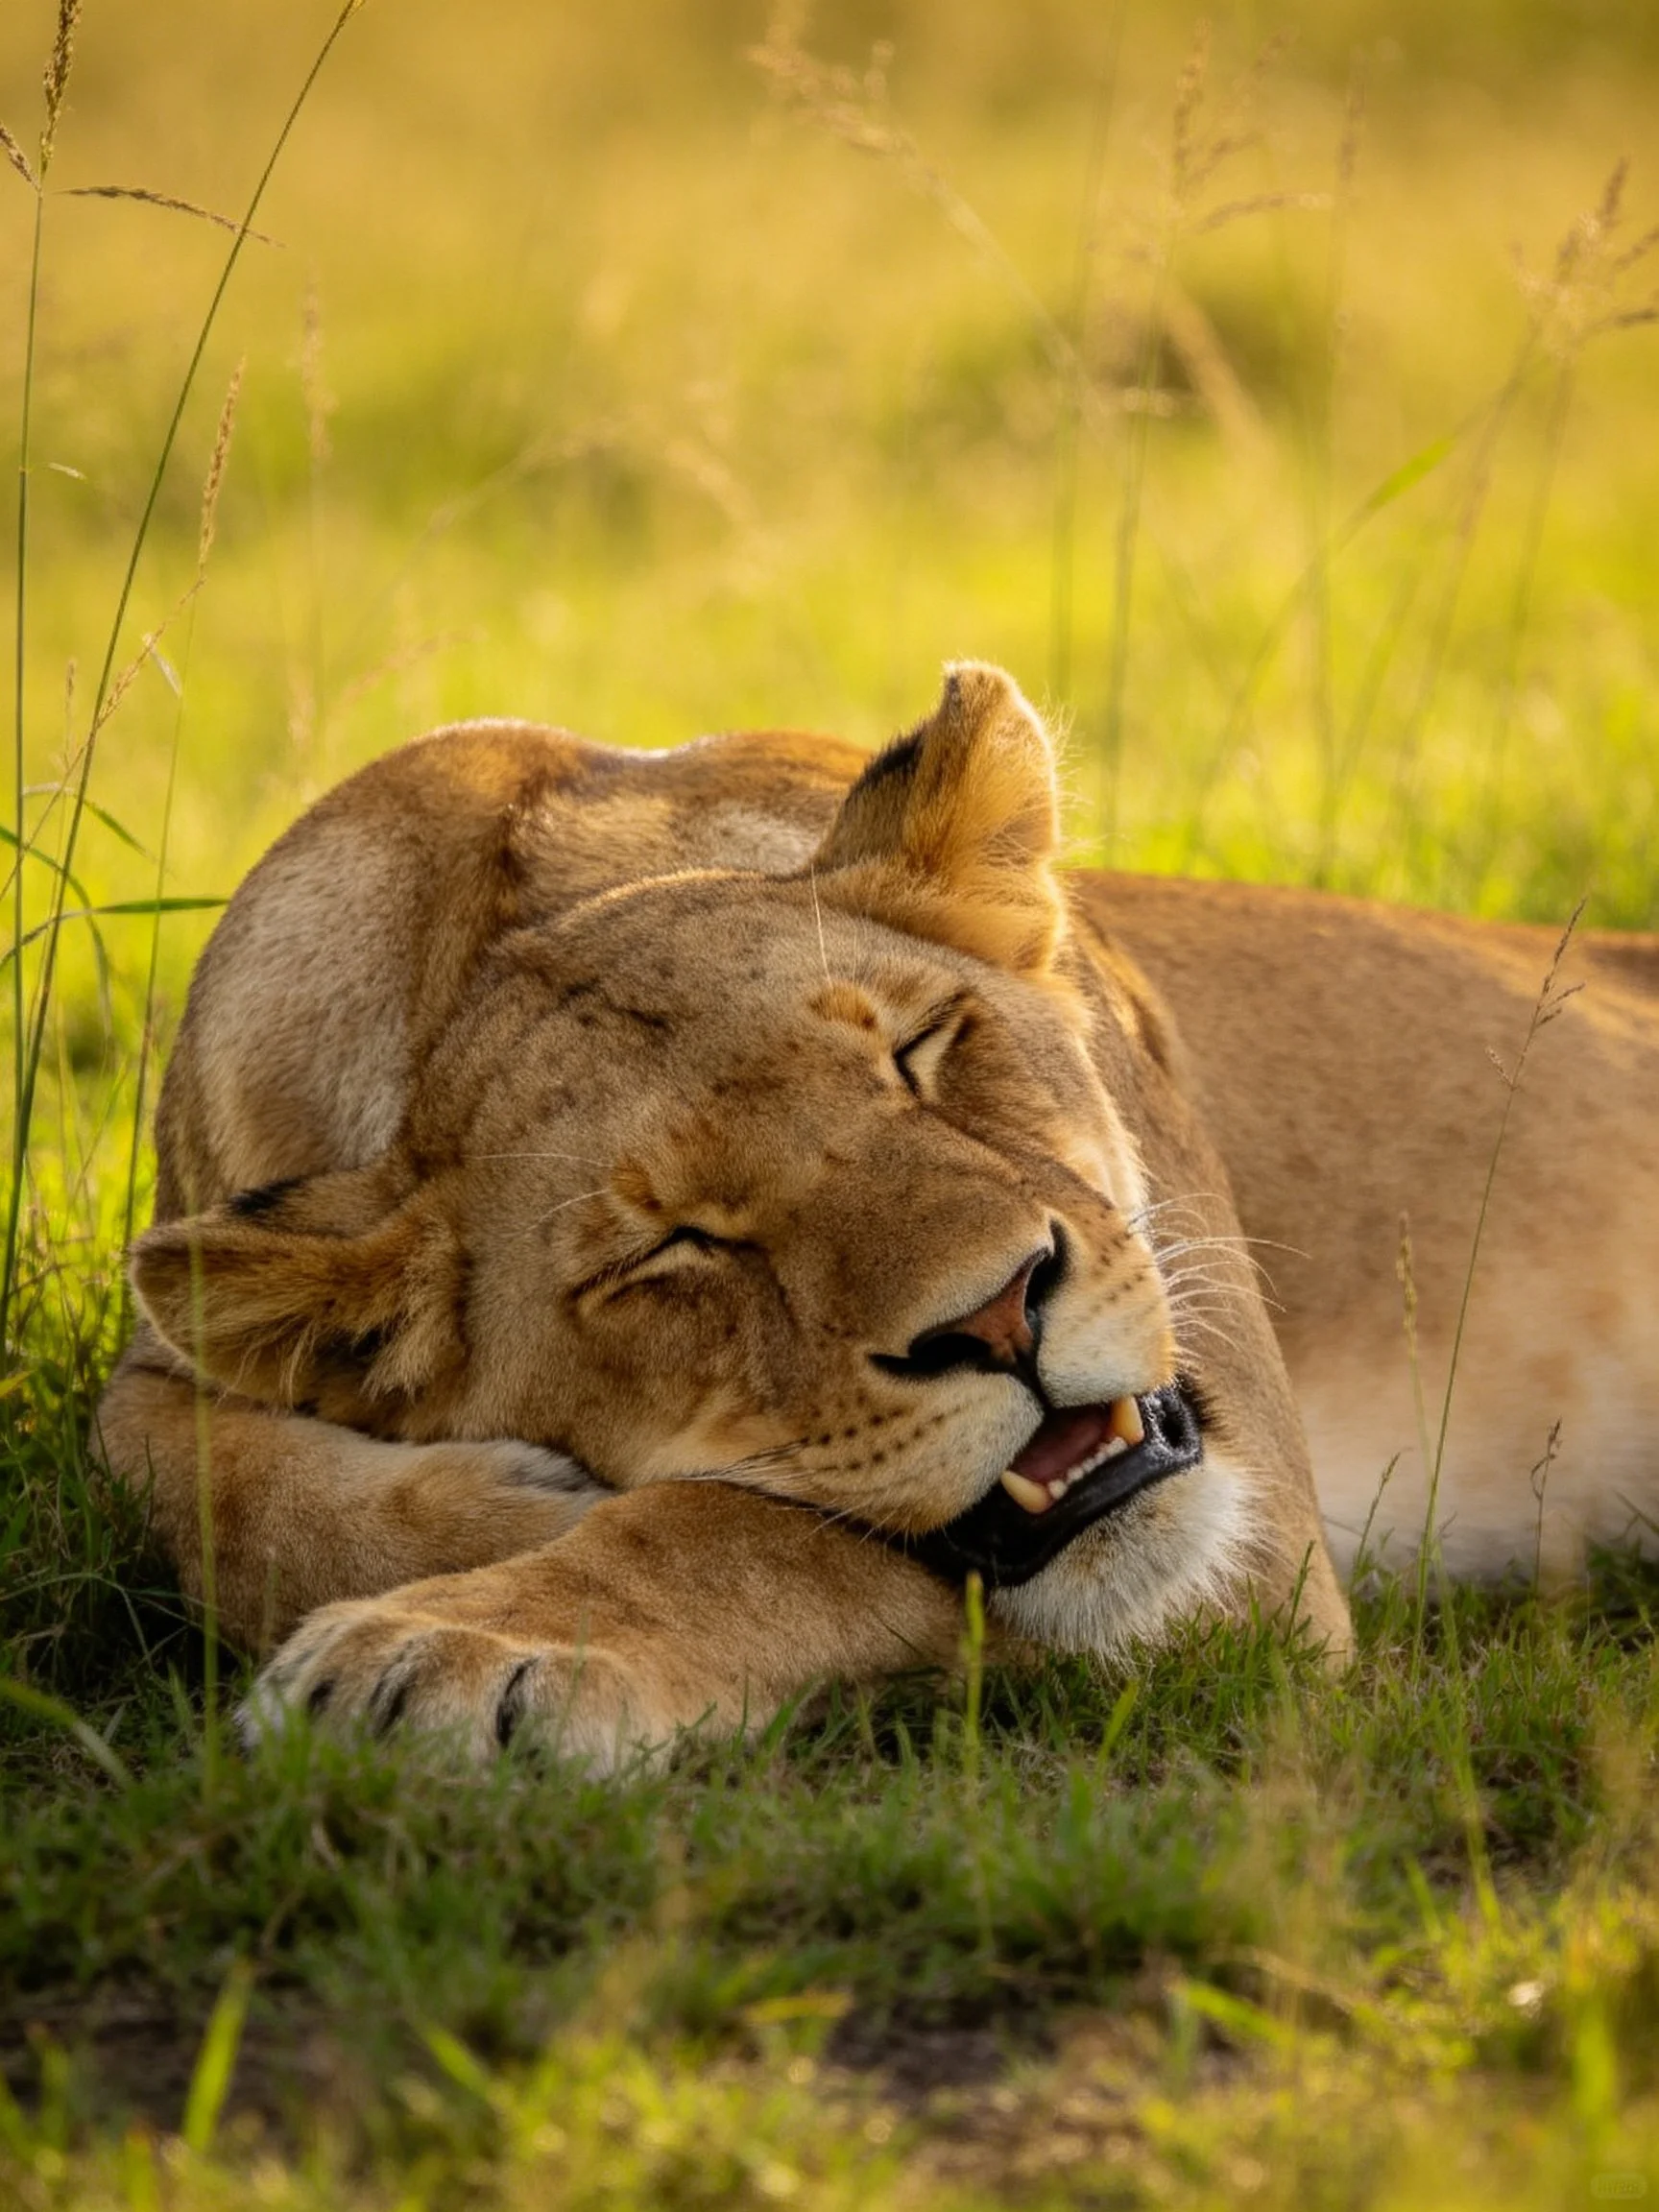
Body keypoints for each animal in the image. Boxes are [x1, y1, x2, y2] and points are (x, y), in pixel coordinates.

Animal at [95, 664, 1659, 1765]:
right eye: (675, 1248)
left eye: (919, 1049)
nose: (1000, 1313)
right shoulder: (156, 1345)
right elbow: (182, 1479)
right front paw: (490, 1522)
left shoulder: (1261, 1547)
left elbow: (742, 1533)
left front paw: (443, 1653)